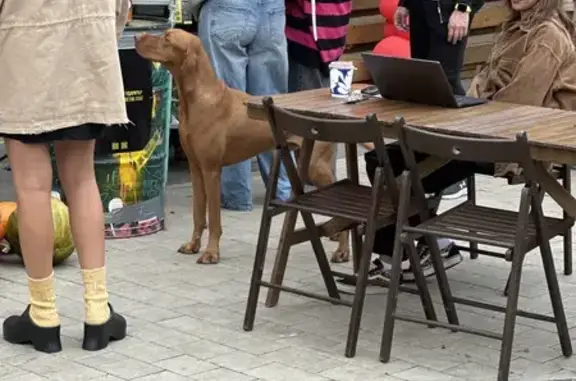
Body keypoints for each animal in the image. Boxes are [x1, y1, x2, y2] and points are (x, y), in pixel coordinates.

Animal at [134, 29, 354, 264]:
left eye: (167, 39)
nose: (136, 37)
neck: (197, 99)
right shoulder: (196, 169)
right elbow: (198, 214)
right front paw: (193, 245)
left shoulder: (211, 170)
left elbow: (213, 219)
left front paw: (211, 252)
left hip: (316, 167)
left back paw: (343, 250)